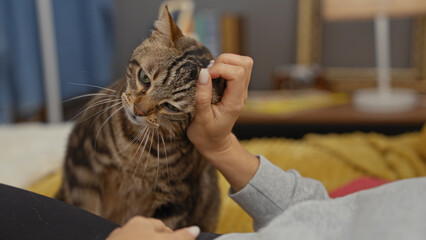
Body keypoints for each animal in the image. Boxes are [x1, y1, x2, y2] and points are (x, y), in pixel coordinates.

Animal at [55, 6, 223, 231]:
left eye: (171, 107)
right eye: (144, 78)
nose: (138, 110)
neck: (136, 148)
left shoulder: (175, 201)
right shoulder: (82, 165)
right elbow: (86, 210)